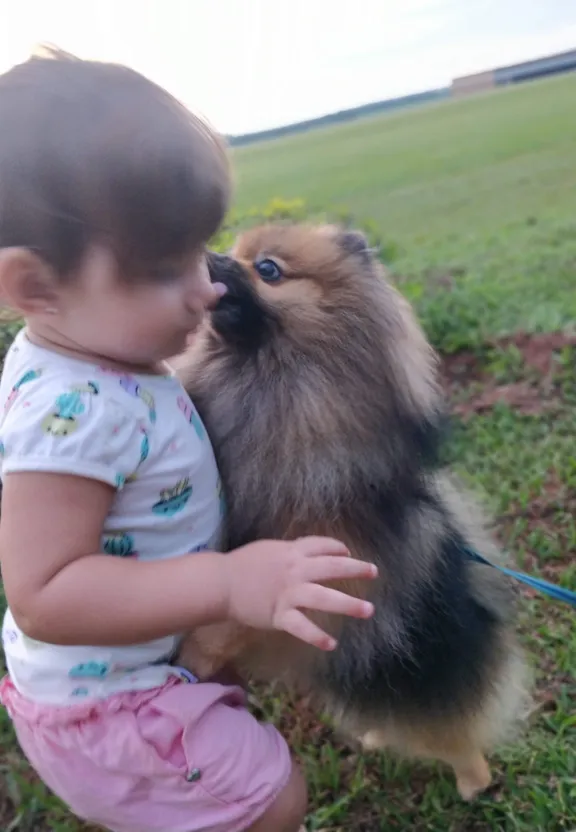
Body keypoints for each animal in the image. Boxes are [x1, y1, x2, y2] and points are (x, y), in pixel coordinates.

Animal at [177, 223, 532, 800]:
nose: (205, 258)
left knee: (453, 728)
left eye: (268, 269)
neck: (264, 382)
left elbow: (239, 615)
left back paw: (472, 782)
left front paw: (199, 652)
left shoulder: (323, 563)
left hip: (420, 670)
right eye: (231, 250)